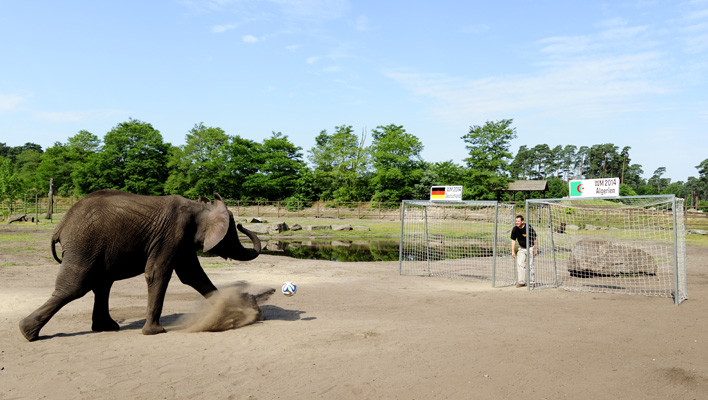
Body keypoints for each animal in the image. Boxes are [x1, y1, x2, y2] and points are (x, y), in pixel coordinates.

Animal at [22, 190, 266, 340]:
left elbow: (192, 275)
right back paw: (28, 333)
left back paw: (106, 328)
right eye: (233, 232)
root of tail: (59, 226)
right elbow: (158, 273)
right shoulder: (173, 234)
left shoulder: (182, 240)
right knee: (76, 287)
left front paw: (238, 310)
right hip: (84, 245)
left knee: (102, 284)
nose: (243, 224)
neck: (199, 207)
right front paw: (155, 332)